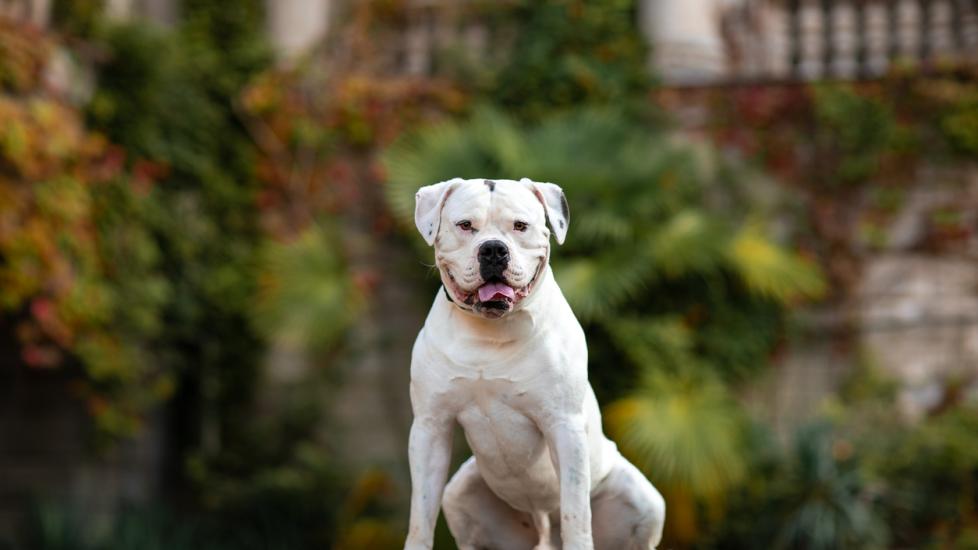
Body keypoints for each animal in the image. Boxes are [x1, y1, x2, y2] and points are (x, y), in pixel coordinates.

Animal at [402, 179, 664, 548]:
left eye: (520, 226)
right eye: (465, 225)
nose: (493, 250)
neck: (490, 333)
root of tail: (543, 530)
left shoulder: (564, 426)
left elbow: (575, 514)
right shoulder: (430, 427)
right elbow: (420, 518)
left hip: (644, 500)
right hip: (460, 495)